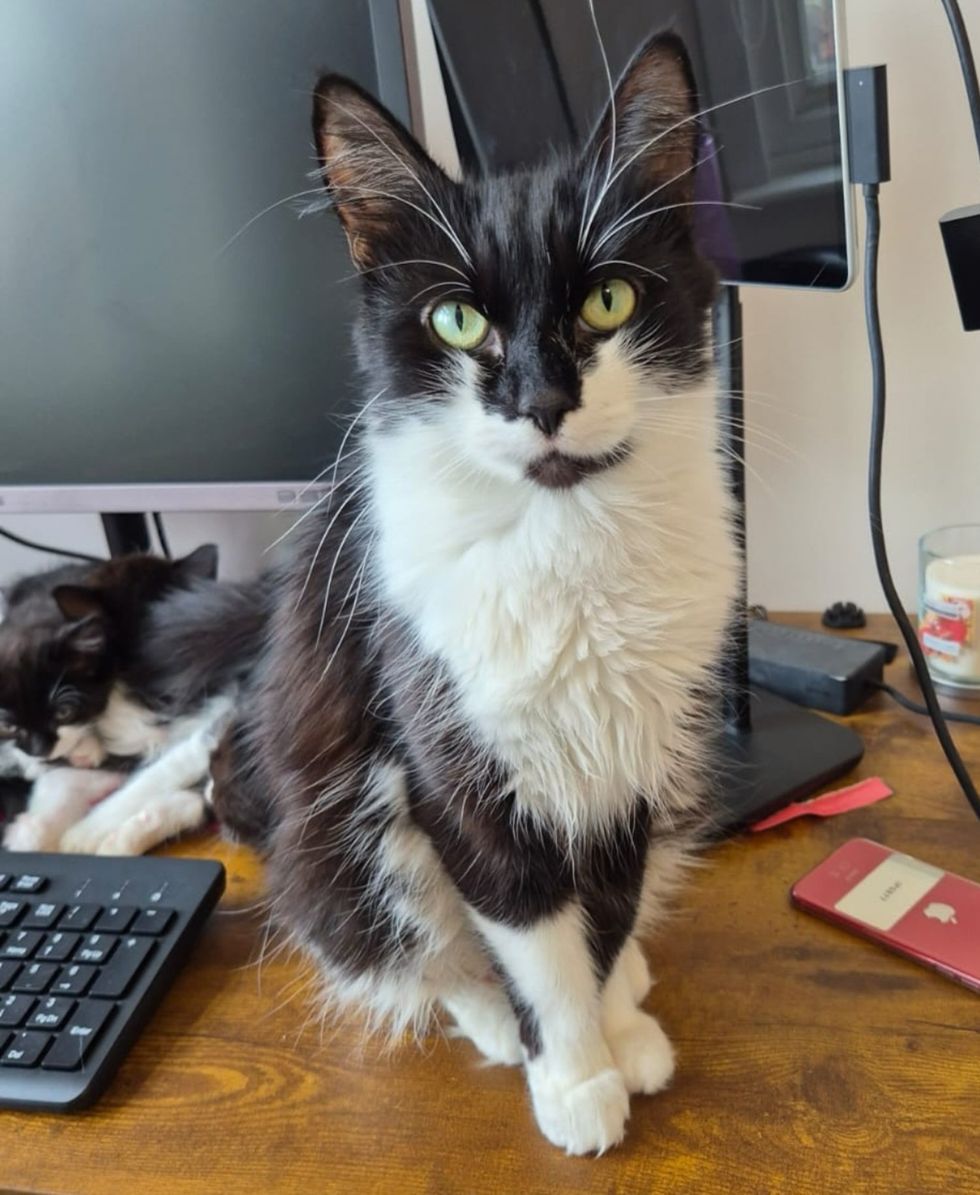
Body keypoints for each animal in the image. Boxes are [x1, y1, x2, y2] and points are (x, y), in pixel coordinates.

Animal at [212, 30, 736, 1156]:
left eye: (607, 300)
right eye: (457, 320)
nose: (541, 400)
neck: (564, 533)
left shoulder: (632, 749)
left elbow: (606, 908)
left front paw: (613, 1022)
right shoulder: (448, 754)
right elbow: (530, 931)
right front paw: (573, 1074)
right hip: (348, 826)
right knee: (397, 942)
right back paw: (492, 1017)